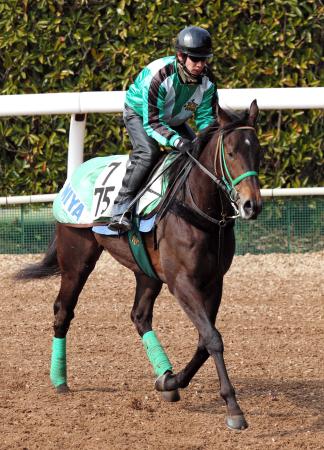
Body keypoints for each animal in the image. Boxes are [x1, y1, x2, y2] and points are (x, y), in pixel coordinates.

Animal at [16, 100, 262, 430]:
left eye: (257, 151)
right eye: (232, 152)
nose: (252, 205)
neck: (195, 206)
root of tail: (76, 173)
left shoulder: (214, 282)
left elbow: (204, 340)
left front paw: (172, 381)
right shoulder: (181, 283)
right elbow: (212, 338)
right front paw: (233, 408)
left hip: (146, 271)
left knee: (139, 316)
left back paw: (164, 373)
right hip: (77, 258)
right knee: (63, 310)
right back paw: (59, 379)